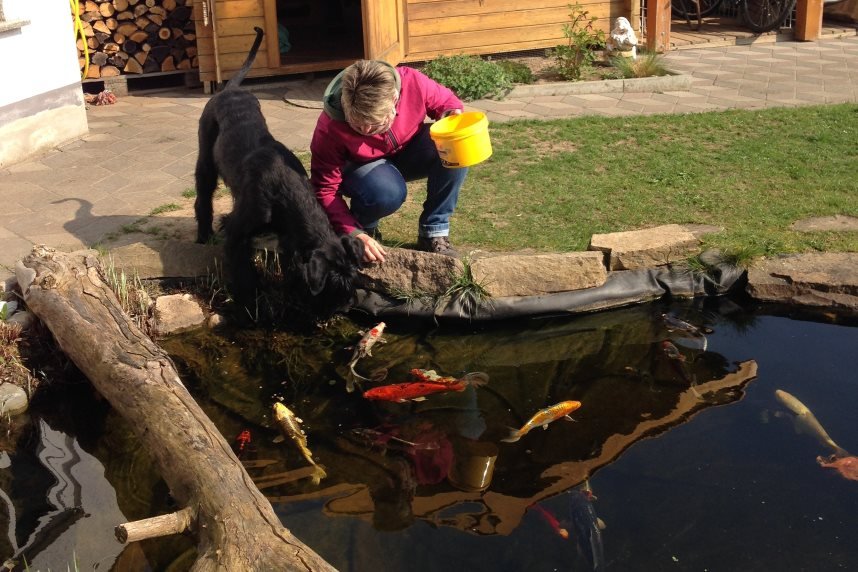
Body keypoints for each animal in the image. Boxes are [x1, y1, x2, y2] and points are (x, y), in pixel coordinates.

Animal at [192, 26, 362, 322]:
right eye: (333, 284)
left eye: (352, 279)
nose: (343, 309)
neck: (284, 190)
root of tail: (230, 89)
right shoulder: (237, 234)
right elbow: (242, 271)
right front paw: (250, 304)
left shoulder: (289, 239)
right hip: (206, 158)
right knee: (203, 195)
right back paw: (203, 235)